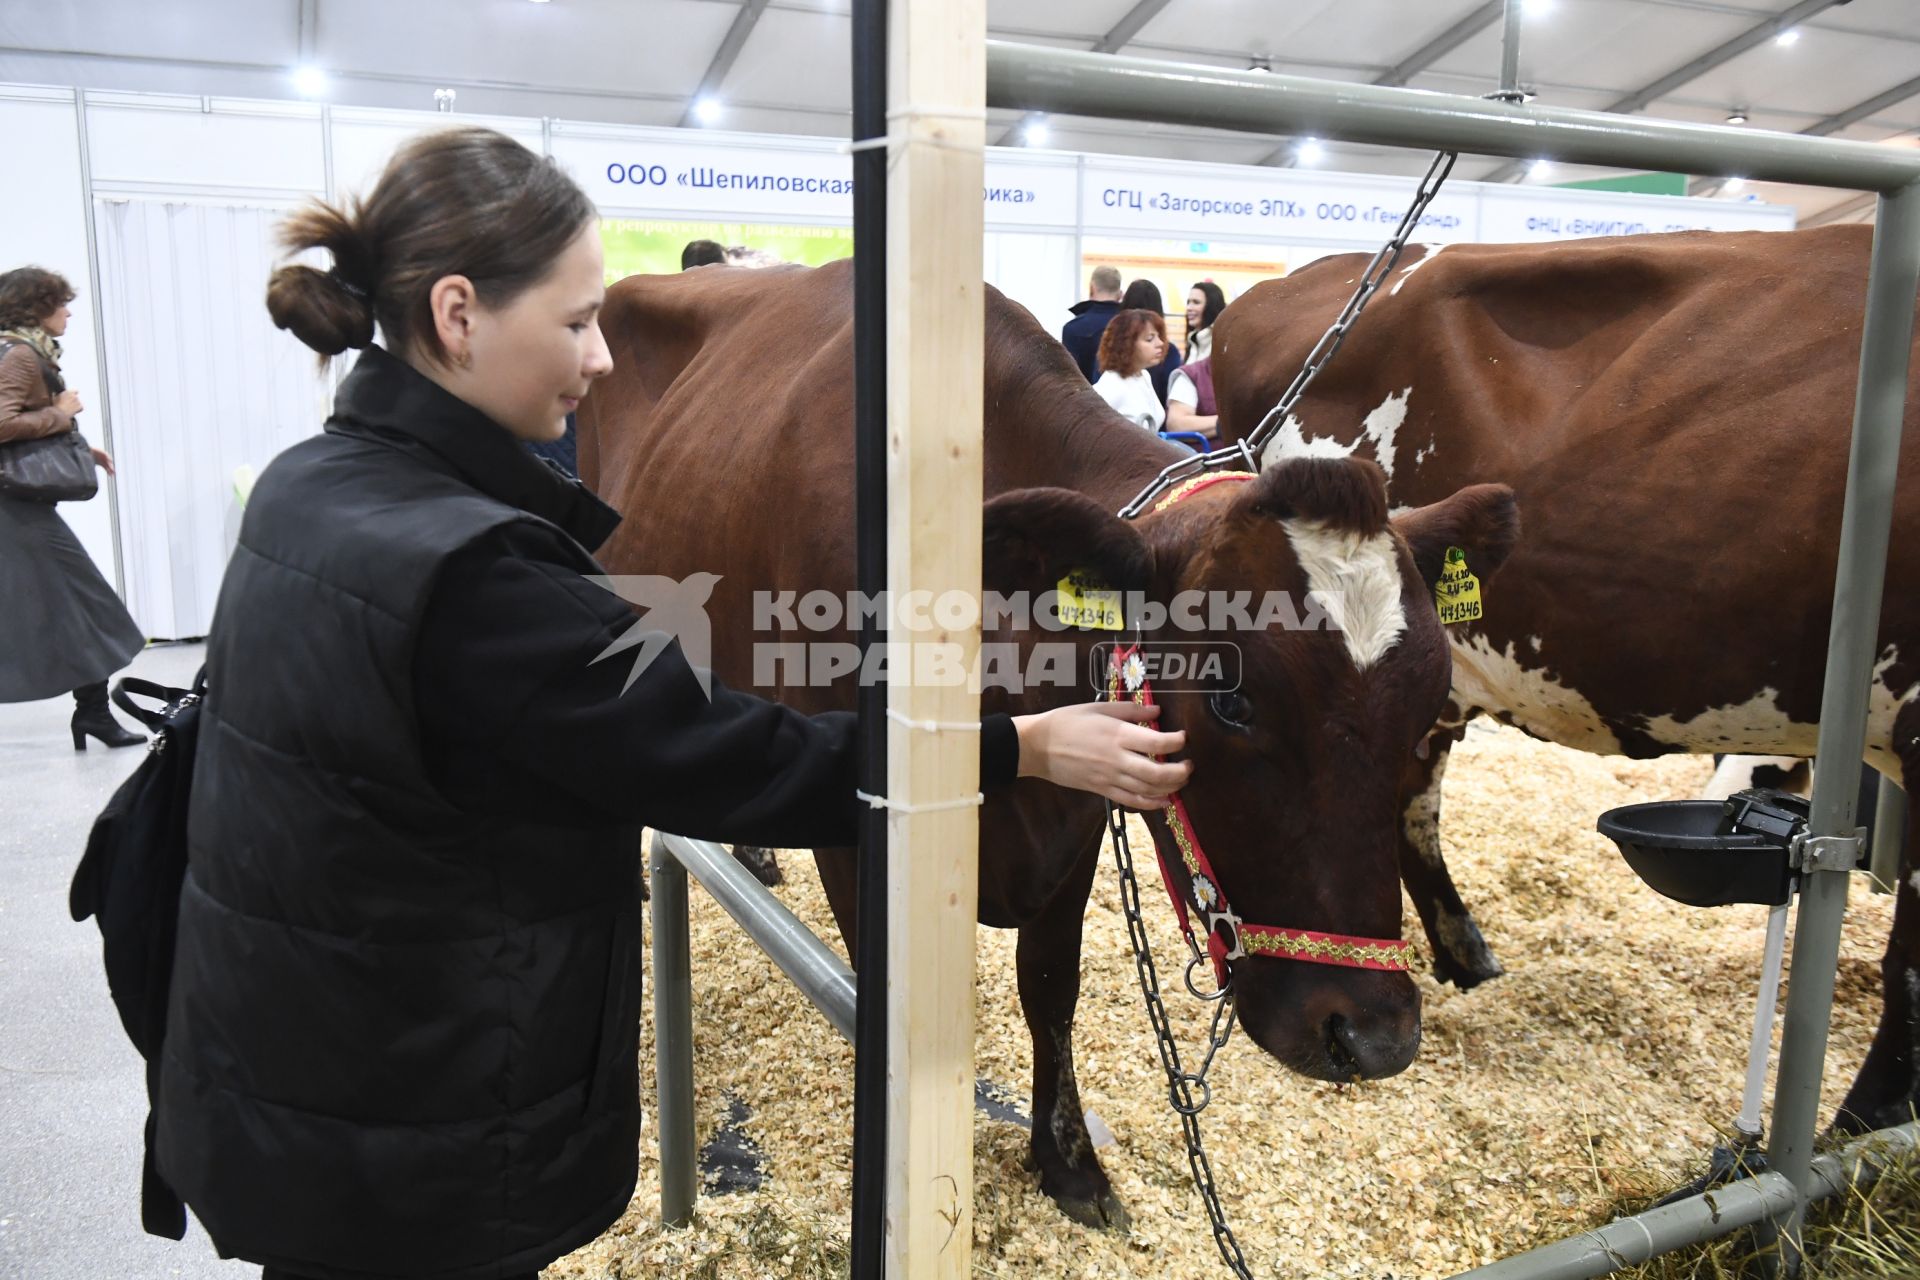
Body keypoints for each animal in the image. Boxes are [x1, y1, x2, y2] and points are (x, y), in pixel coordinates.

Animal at [579, 257, 1512, 1220]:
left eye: (1428, 707)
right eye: (1232, 704)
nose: (1372, 1036)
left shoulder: (1076, 813)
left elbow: (1050, 985)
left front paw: (1068, 1161)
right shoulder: (859, 834)